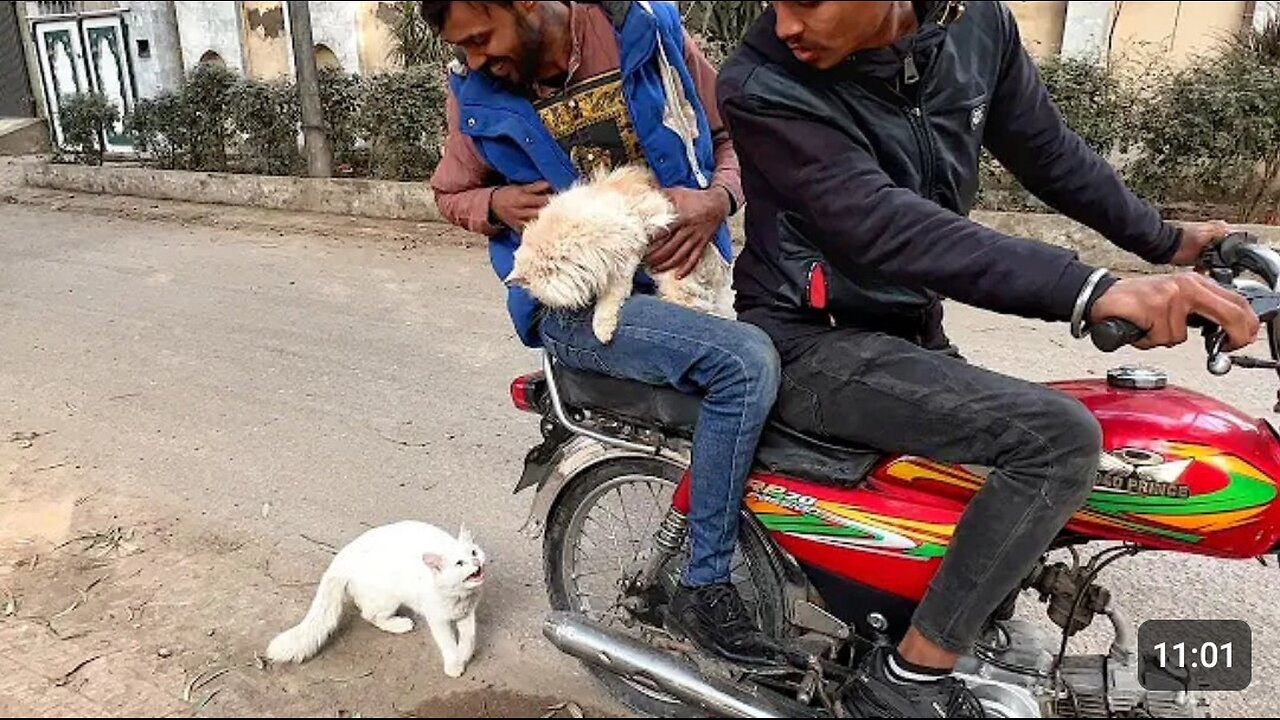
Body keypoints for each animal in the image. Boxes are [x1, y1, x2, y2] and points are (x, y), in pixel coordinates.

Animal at [267, 517, 486, 676]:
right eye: (459, 563)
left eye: (474, 552)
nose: (476, 562)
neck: (459, 596)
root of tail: (342, 556)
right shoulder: (437, 619)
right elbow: (448, 644)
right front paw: (454, 665)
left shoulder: (468, 614)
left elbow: (469, 639)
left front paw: (464, 655)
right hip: (388, 599)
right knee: (369, 615)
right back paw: (400, 624)